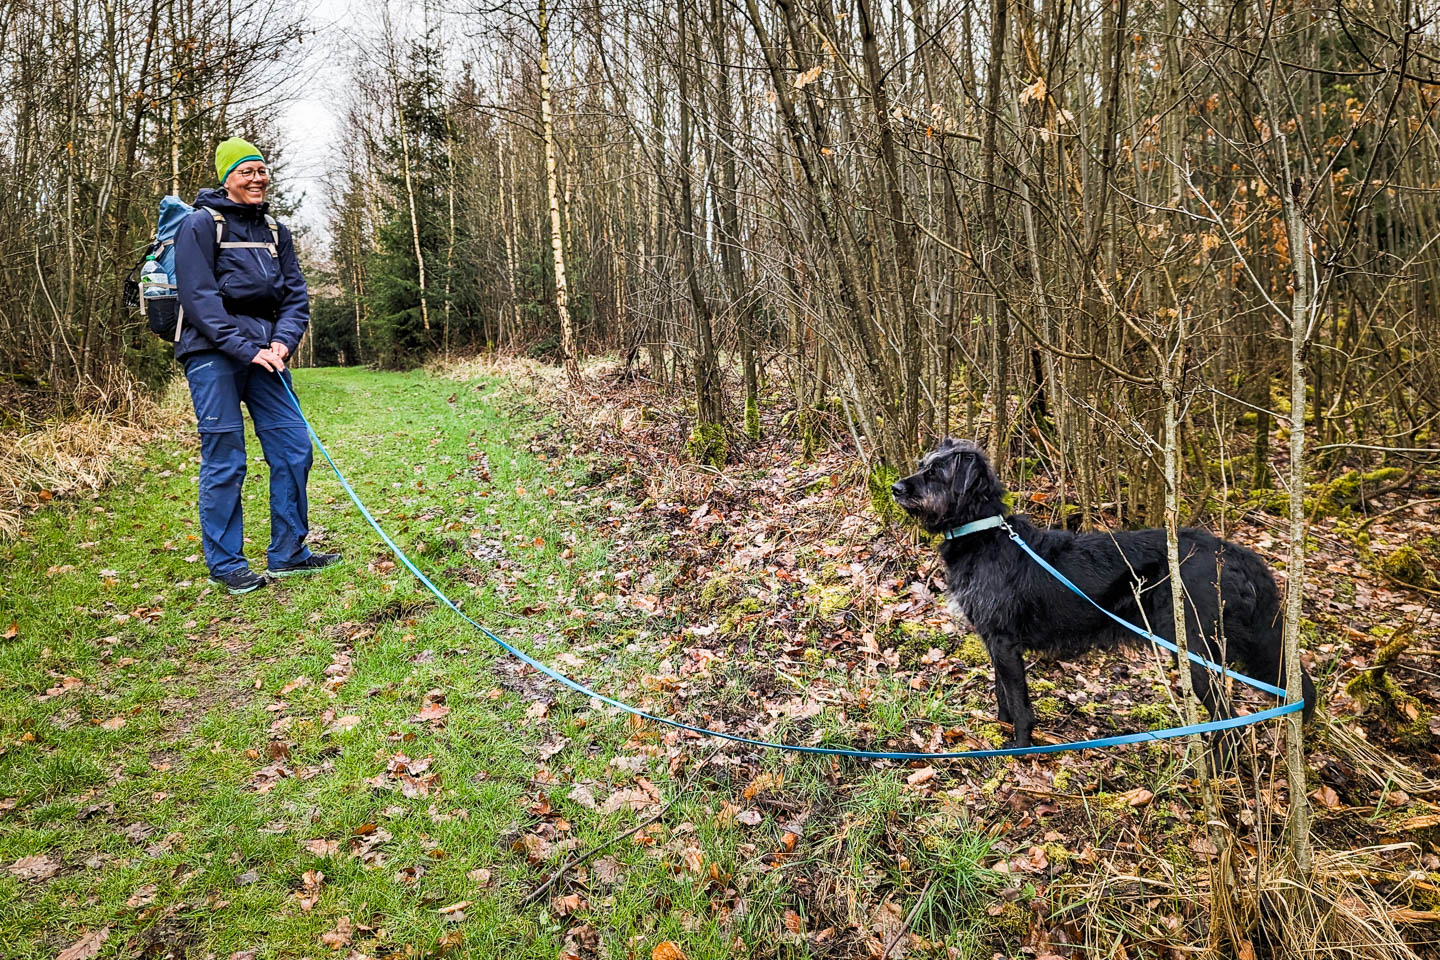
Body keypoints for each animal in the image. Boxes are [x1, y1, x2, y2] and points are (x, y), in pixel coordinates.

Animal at [892, 437, 1319, 748]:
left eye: (936, 473)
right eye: (923, 464)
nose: (895, 487)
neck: (982, 532)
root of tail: (1235, 553)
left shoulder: (1005, 643)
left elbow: (1017, 699)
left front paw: (1019, 747)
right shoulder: (994, 641)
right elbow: (1001, 694)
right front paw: (999, 727)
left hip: (1198, 651)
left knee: (1229, 720)